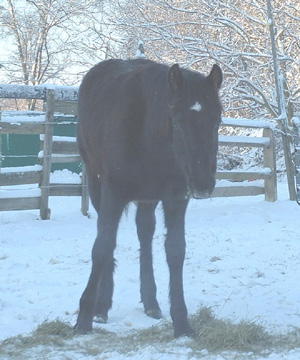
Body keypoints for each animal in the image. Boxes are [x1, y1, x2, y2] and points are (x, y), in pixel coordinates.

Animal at [74, 59, 223, 338]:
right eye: (177, 122)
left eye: (217, 121)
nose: (202, 184)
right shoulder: (112, 193)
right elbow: (102, 246)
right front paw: (85, 316)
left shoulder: (176, 198)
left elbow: (175, 250)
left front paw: (182, 322)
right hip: (97, 183)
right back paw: (102, 305)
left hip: (148, 198)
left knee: (145, 233)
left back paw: (151, 302)